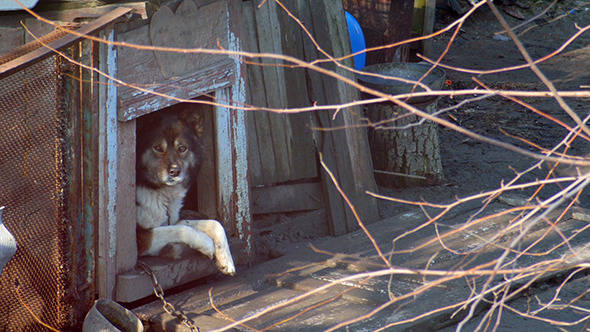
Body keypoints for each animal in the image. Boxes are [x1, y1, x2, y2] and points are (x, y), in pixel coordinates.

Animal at [136, 105, 236, 274]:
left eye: (182, 148)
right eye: (157, 148)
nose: (175, 172)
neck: (160, 192)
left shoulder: (172, 219)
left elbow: (214, 223)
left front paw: (226, 260)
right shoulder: (139, 238)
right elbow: (181, 229)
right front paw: (207, 243)